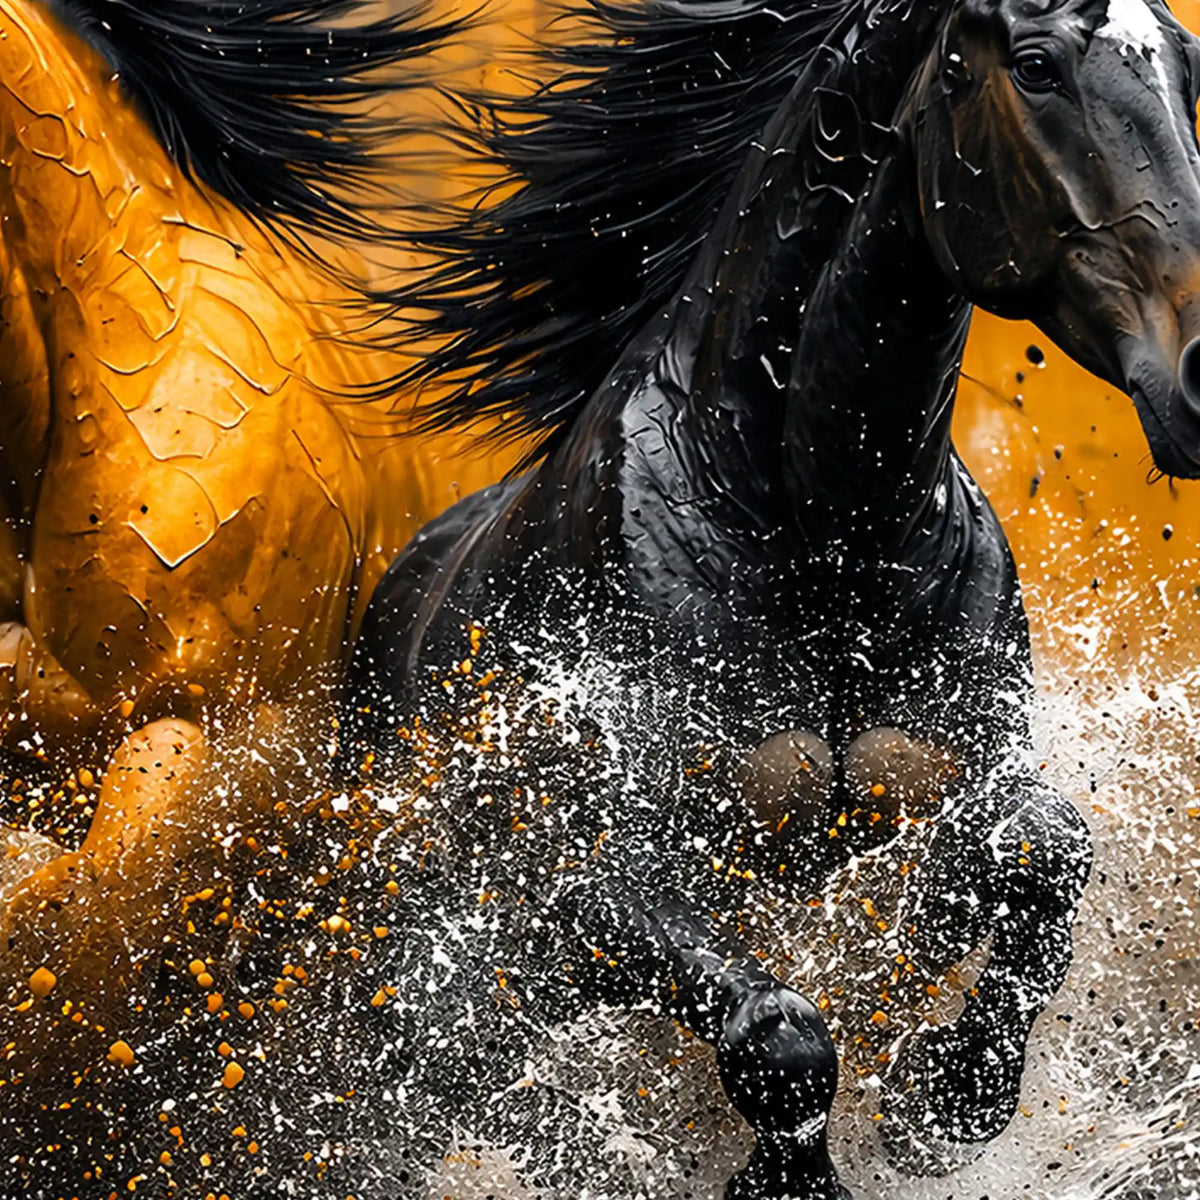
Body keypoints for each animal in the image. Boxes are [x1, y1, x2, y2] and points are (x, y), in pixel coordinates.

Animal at [346, 0, 1200, 1192]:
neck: (817, 537)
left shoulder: (963, 781)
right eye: (1034, 66)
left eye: (1189, 67)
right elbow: (781, 1036)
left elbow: (1040, 851)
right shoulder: (580, 881)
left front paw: (944, 1098)